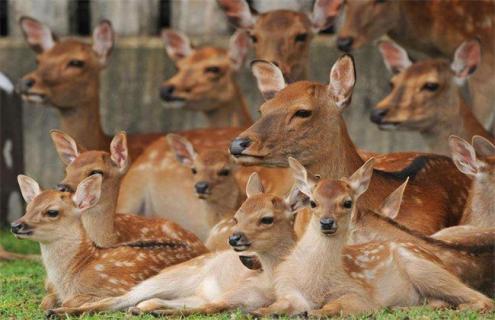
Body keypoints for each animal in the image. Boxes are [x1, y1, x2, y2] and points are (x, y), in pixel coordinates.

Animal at [12, 174, 203, 308]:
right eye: (28, 208)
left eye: (52, 212)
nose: (15, 225)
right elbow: (45, 301)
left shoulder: (118, 287)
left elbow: (71, 301)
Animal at [46, 172, 298, 316]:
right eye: (237, 216)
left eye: (267, 218)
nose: (234, 238)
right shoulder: (237, 292)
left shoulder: (239, 301)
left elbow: (208, 308)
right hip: (167, 278)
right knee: (120, 299)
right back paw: (57, 311)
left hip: (188, 290)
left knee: (148, 301)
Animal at [254, 157, 494, 316]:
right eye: (313, 202)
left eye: (347, 202)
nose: (327, 222)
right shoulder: (288, 290)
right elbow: (278, 305)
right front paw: (261, 311)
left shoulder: (360, 294)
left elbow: (339, 305)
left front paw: (317, 313)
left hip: (426, 271)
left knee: (483, 299)